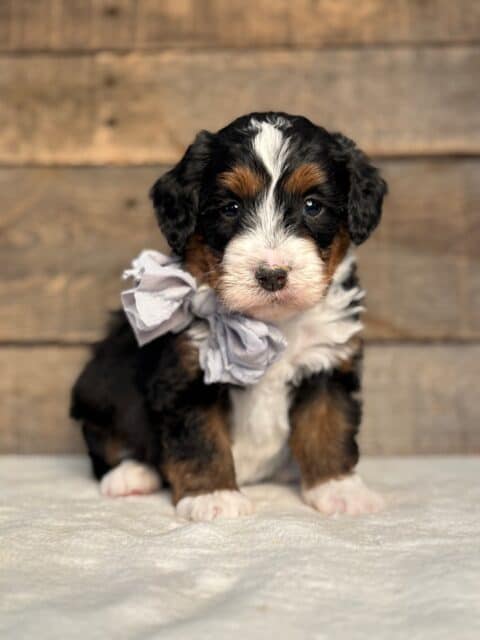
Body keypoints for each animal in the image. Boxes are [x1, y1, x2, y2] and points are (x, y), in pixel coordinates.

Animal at [70, 111, 386, 520]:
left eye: (312, 205)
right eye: (230, 208)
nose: (272, 274)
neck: (271, 324)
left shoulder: (327, 363)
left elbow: (328, 427)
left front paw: (339, 489)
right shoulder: (187, 371)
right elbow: (201, 438)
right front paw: (214, 496)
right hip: (102, 383)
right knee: (104, 442)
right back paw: (131, 474)